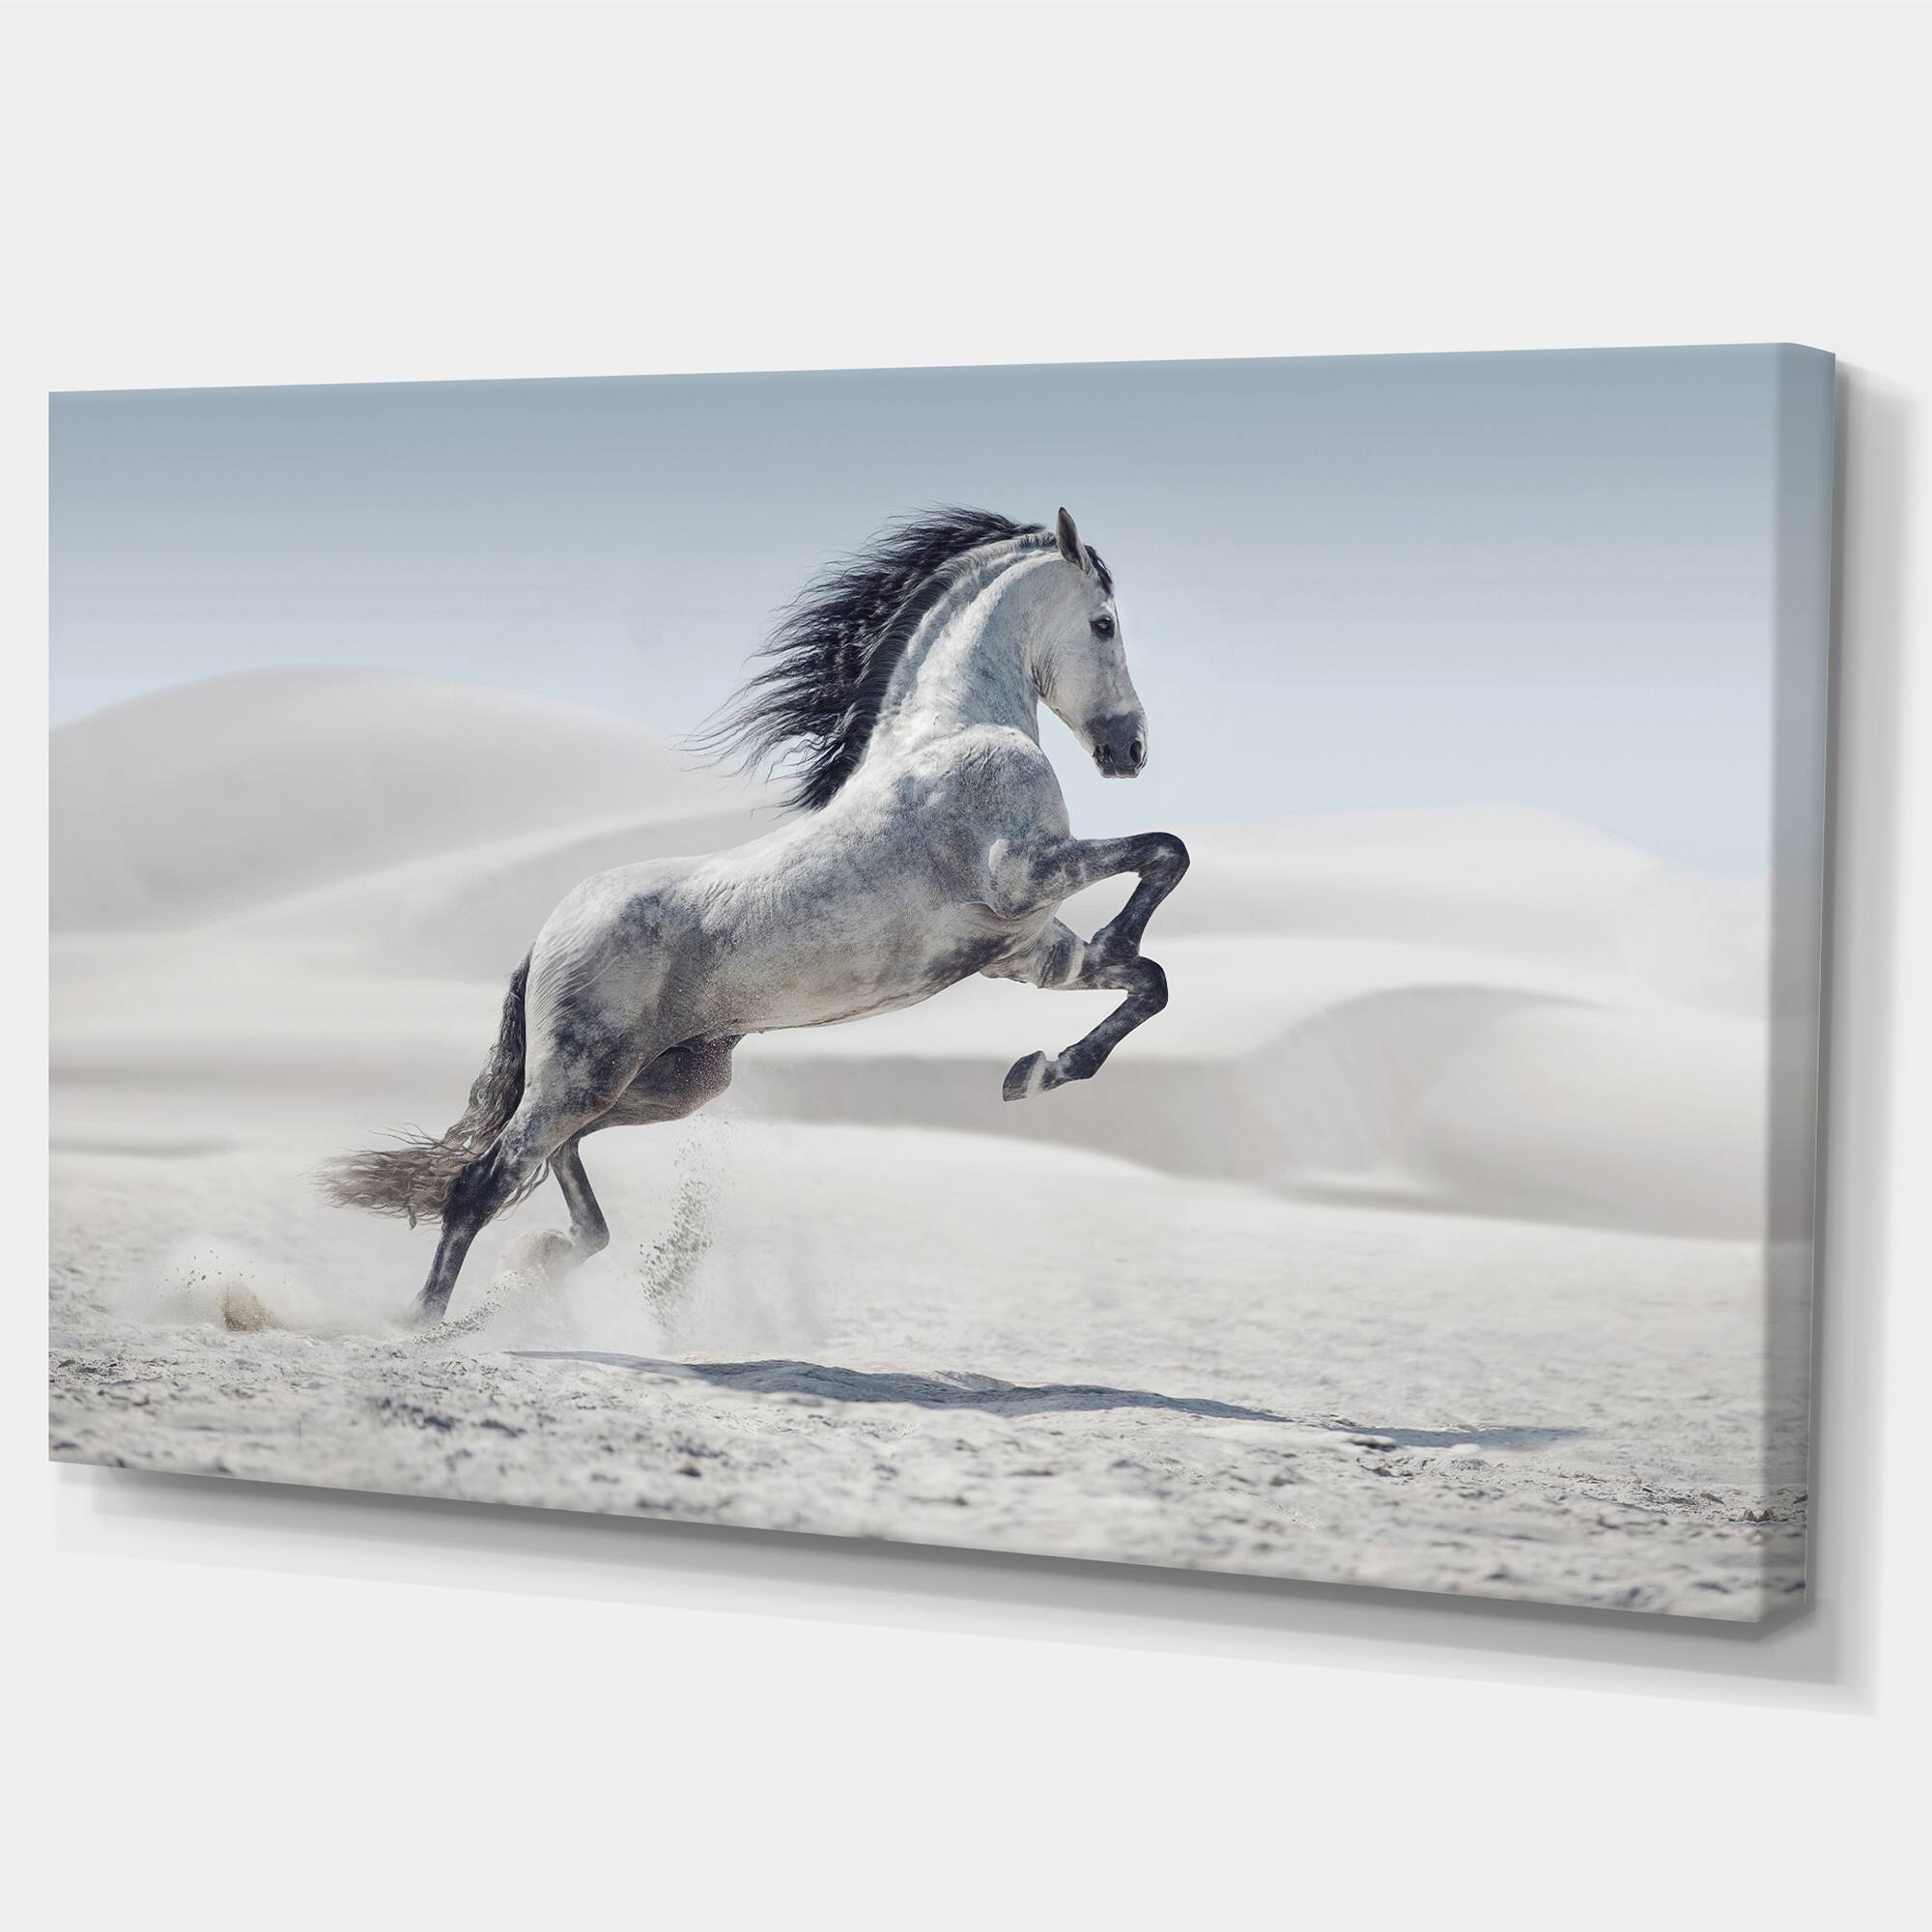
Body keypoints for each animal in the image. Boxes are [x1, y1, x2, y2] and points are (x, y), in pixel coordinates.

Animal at [321, 506, 1189, 1323]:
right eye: (1104, 623)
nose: (1132, 750)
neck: (954, 731)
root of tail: (544, 937)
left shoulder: (1026, 950)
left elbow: (1149, 980)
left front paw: (1035, 1072)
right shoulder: (1023, 873)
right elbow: (1165, 852)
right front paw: (1106, 953)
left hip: (668, 1081)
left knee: (555, 1164)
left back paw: (547, 1262)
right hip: (582, 1075)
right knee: (485, 1180)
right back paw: (426, 1323)